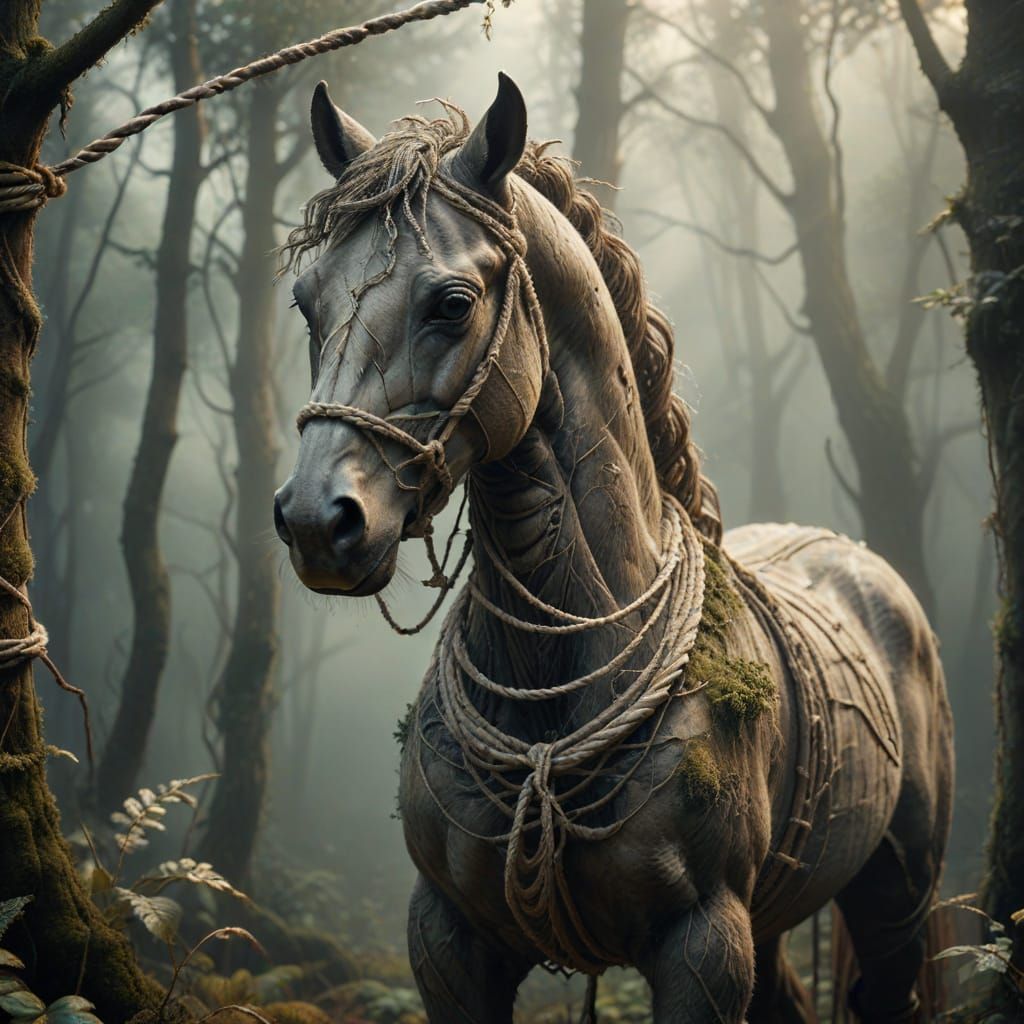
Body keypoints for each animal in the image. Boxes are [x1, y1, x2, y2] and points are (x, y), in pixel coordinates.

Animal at [273, 74, 954, 1024]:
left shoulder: (702, 944)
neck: (551, 689)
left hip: (896, 898)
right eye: (308, 303)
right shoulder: (445, 937)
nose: (315, 520)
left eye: (452, 304)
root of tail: (857, 558)